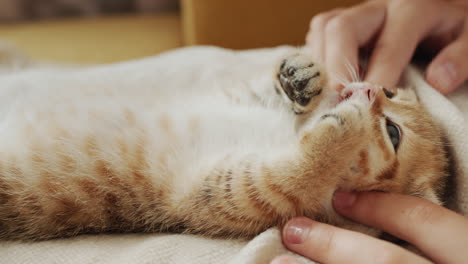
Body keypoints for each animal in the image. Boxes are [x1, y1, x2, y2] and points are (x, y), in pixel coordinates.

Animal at [0, 48, 448, 240]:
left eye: (393, 133)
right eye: (390, 90)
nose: (369, 89)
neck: (288, 134)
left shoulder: (229, 194)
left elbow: (296, 175)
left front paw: (344, 128)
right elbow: (272, 96)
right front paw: (302, 76)